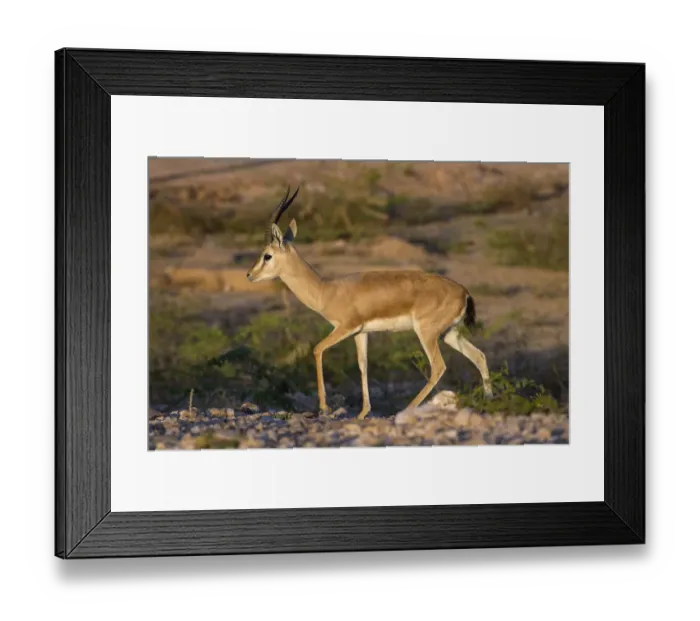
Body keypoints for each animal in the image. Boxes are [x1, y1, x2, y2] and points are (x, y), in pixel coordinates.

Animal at [247, 187, 493, 419]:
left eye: (267, 255)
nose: (249, 275)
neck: (327, 290)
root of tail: (464, 292)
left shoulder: (346, 327)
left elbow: (317, 349)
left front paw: (325, 407)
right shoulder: (360, 332)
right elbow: (363, 365)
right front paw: (363, 412)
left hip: (427, 333)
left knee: (438, 367)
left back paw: (407, 408)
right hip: (449, 333)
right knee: (479, 356)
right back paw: (489, 403)